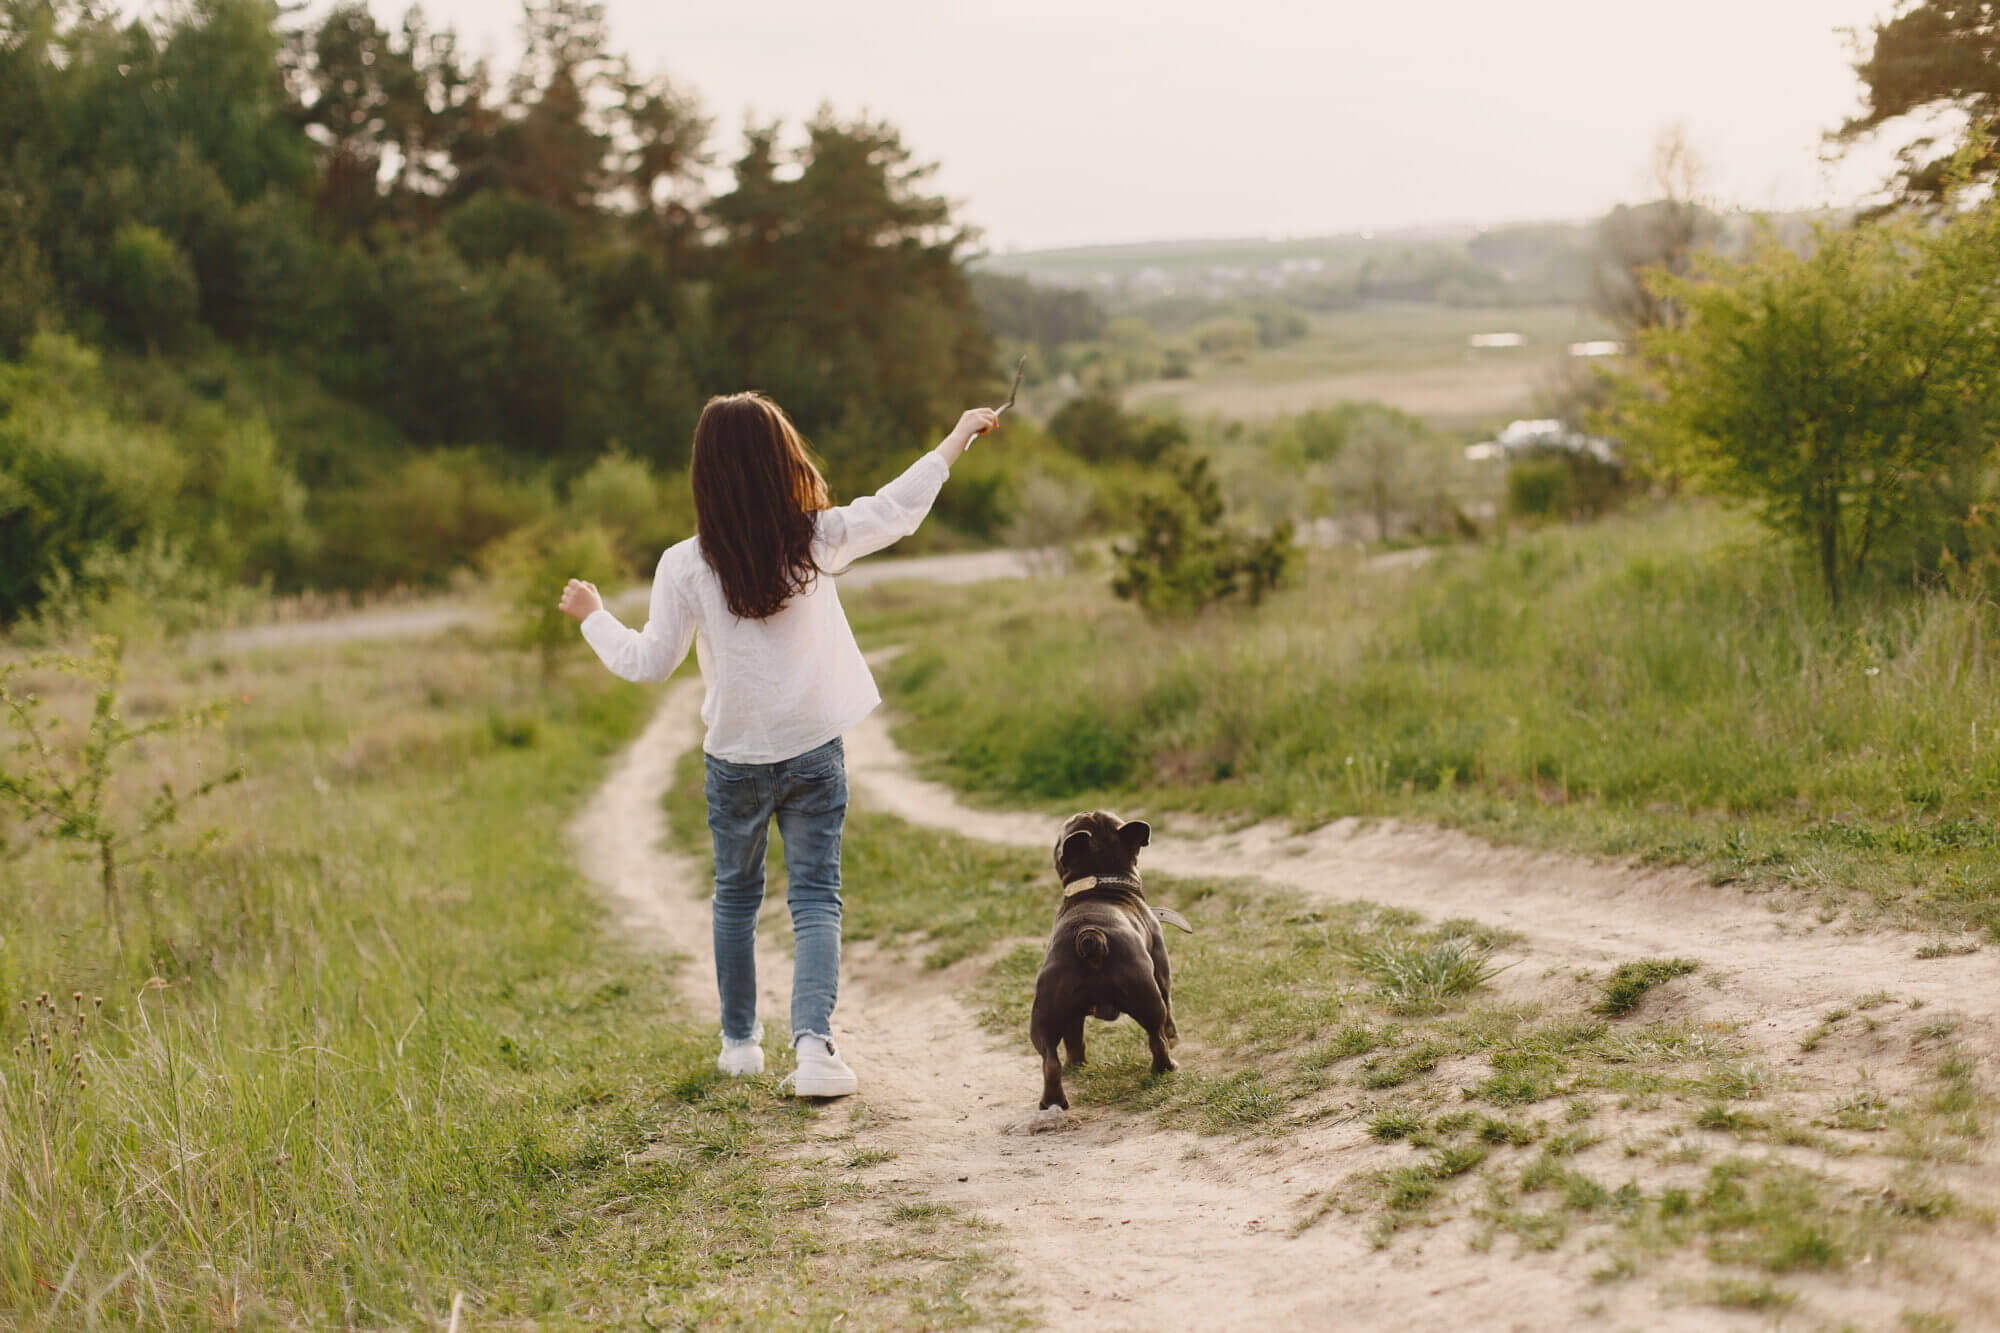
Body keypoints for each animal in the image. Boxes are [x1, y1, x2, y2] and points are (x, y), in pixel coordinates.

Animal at [1032, 804, 1184, 1104]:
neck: (1100, 881)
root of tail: (1090, 936)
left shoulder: (1072, 1017)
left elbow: (1074, 1039)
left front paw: (1077, 1064)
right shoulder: (1162, 972)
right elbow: (1170, 1015)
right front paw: (1175, 1038)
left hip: (1046, 1012)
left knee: (1050, 1060)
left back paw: (1057, 1095)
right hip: (1148, 997)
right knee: (1156, 1036)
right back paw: (1166, 1067)